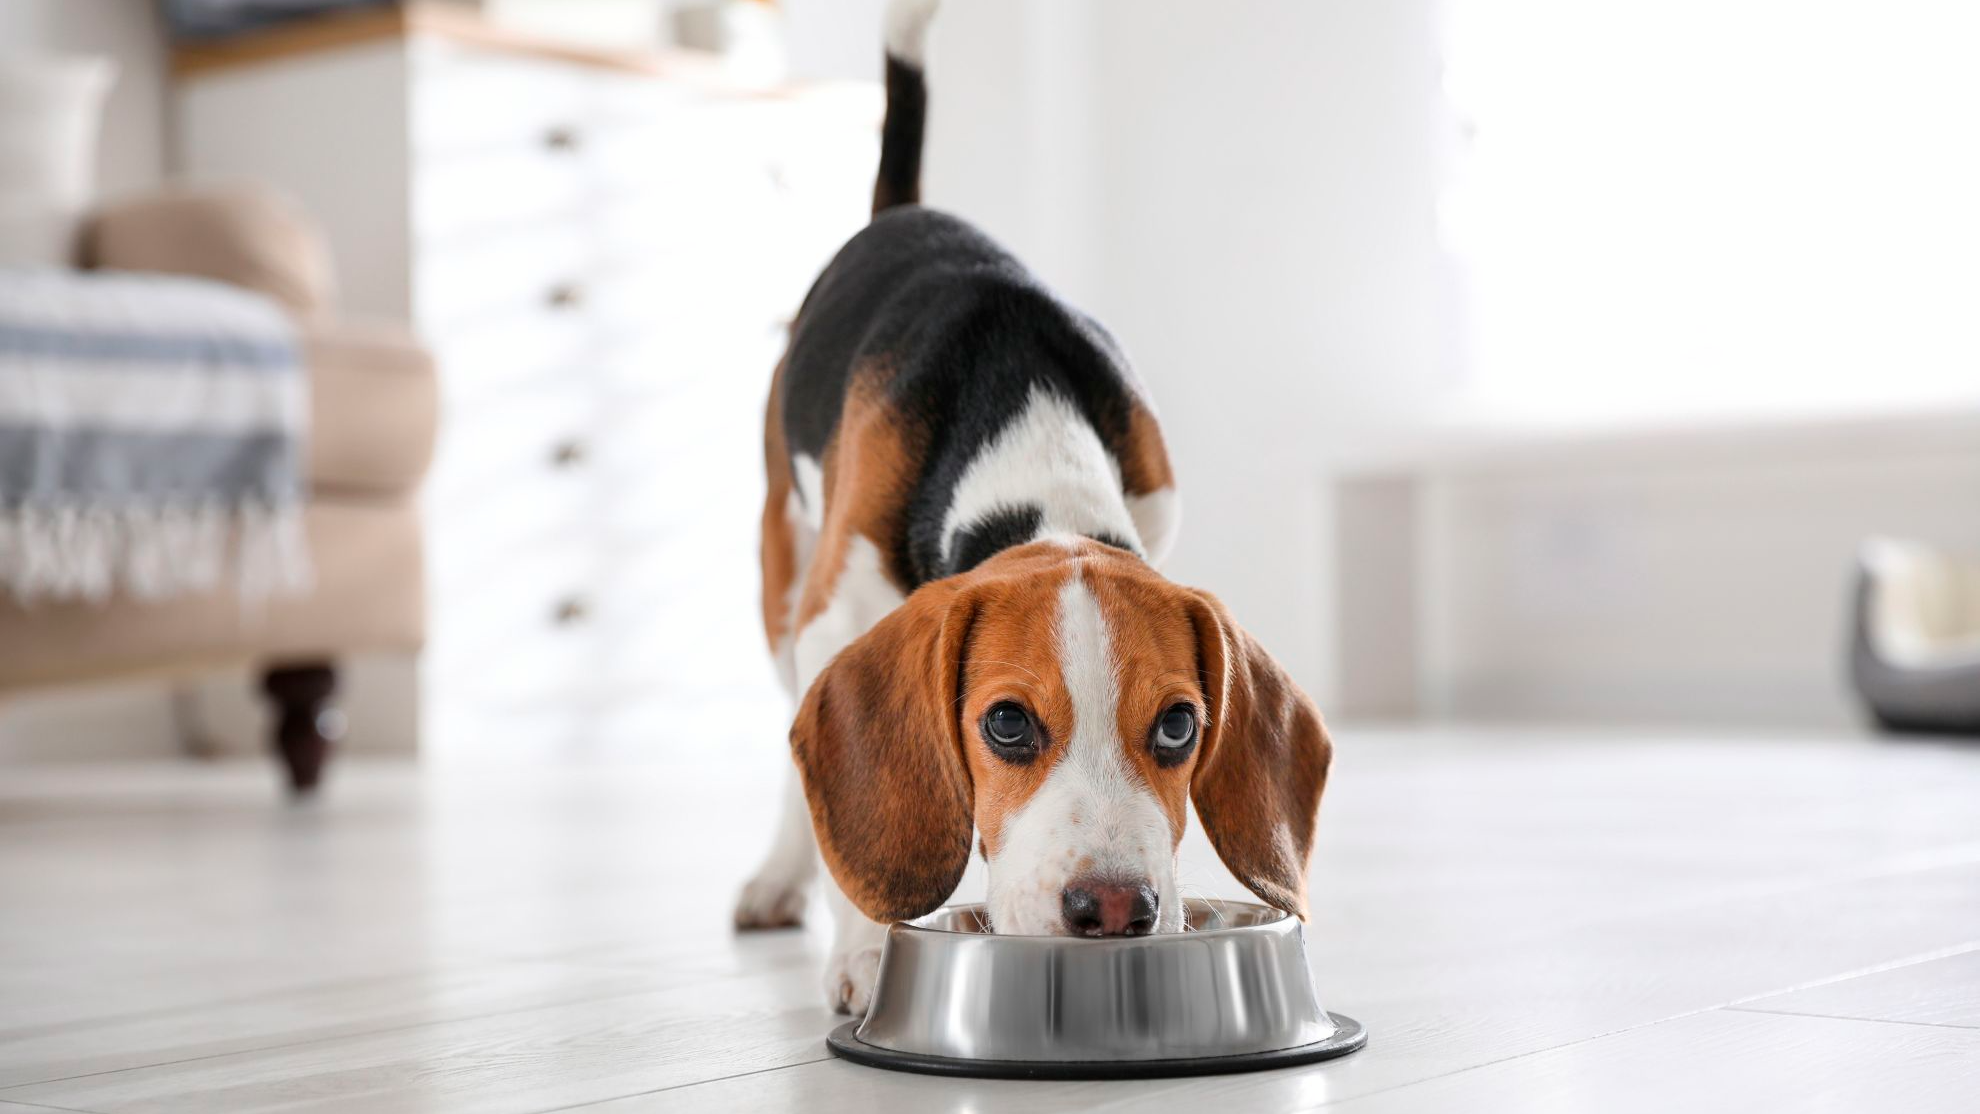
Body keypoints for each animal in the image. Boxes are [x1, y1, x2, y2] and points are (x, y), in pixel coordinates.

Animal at [732, 0, 1330, 1013]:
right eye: (1007, 724)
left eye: (1180, 726)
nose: (1117, 909)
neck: (1028, 436)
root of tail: (905, 211)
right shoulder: (835, 616)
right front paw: (866, 951)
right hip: (785, 581)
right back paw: (779, 875)